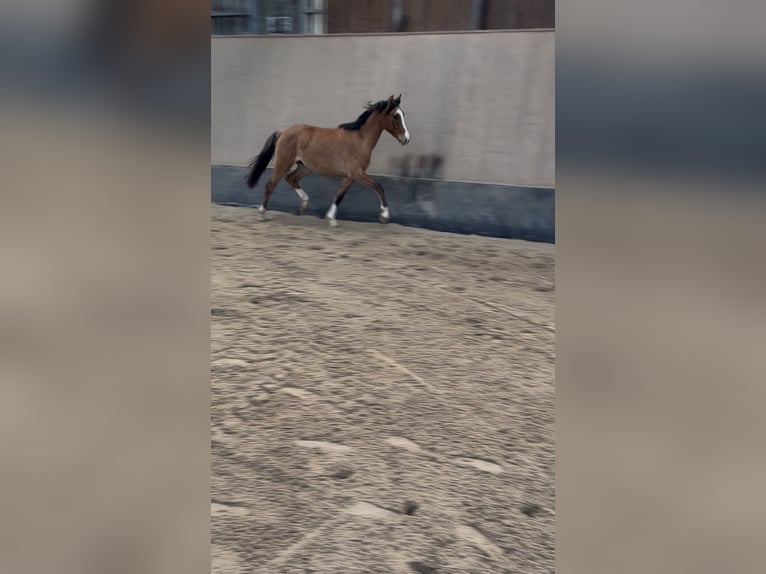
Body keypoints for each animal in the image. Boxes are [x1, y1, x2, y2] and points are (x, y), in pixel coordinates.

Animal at [244, 94, 410, 226]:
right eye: (396, 116)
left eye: (403, 114)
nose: (406, 139)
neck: (360, 139)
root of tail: (283, 132)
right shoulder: (356, 172)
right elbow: (378, 186)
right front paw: (384, 216)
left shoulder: (350, 176)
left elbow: (339, 195)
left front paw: (331, 218)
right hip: (283, 163)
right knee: (271, 184)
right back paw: (262, 214)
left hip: (305, 167)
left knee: (291, 178)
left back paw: (304, 204)